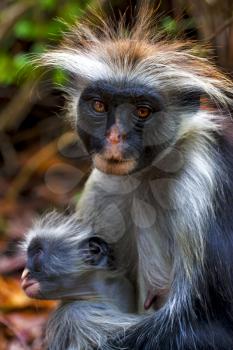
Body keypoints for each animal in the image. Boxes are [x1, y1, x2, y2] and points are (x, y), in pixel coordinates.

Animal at [41, 5, 233, 350]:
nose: (115, 138)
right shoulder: (104, 187)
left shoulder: (200, 180)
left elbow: (207, 325)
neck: (149, 174)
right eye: (99, 105)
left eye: (142, 112)